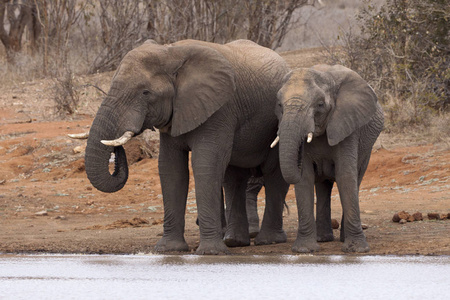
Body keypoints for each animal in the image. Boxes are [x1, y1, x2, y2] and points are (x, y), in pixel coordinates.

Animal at [83, 39, 288, 255]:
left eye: (146, 92)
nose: (117, 148)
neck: (171, 51)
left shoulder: (220, 109)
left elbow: (206, 165)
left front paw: (210, 253)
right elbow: (171, 168)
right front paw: (168, 249)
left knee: (273, 174)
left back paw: (268, 241)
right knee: (234, 178)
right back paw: (235, 241)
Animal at [272, 64, 384, 252]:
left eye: (320, 104)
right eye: (279, 105)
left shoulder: (348, 126)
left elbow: (345, 176)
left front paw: (357, 250)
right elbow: (305, 178)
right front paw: (304, 250)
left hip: (367, 148)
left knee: (356, 179)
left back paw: (341, 239)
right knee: (323, 186)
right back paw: (323, 239)